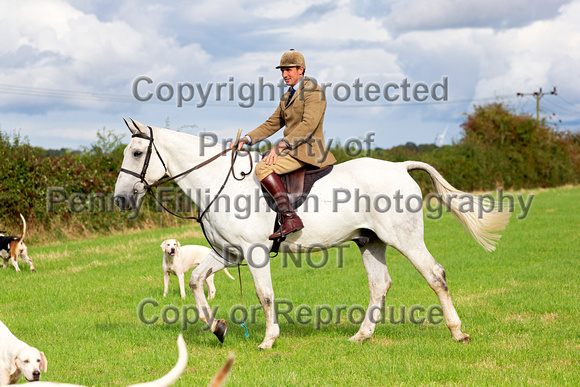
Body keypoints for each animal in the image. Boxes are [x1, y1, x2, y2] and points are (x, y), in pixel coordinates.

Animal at [115, 118, 510, 348]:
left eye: (136, 153)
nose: (120, 199)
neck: (218, 183)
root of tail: (400, 167)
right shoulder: (227, 253)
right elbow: (198, 281)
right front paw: (217, 327)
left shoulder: (254, 252)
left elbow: (265, 295)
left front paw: (269, 340)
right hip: (371, 242)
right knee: (380, 285)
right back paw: (361, 335)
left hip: (406, 240)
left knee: (435, 275)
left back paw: (458, 332)